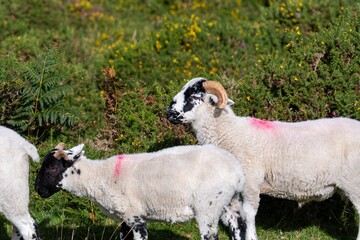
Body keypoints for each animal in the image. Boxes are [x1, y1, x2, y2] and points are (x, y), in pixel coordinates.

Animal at [34, 142, 248, 240]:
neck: (100, 176)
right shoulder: (125, 219)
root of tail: (237, 171)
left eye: (52, 167)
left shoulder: (136, 217)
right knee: (240, 230)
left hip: (208, 208)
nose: (37, 189)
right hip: (231, 204)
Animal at [167, 77, 360, 240]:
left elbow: (249, 213)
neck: (229, 133)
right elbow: (233, 217)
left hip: (354, 183)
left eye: (194, 95)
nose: (169, 112)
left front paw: (251, 237)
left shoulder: (251, 182)